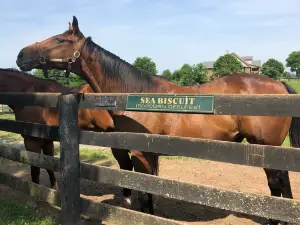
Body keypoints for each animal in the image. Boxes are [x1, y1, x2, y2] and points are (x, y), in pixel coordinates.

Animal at [17, 15, 300, 223]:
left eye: (59, 39)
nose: (21, 55)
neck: (136, 93)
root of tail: (279, 85)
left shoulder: (140, 153)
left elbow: (144, 192)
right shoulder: (149, 154)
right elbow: (150, 190)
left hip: (267, 149)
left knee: (277, 186)